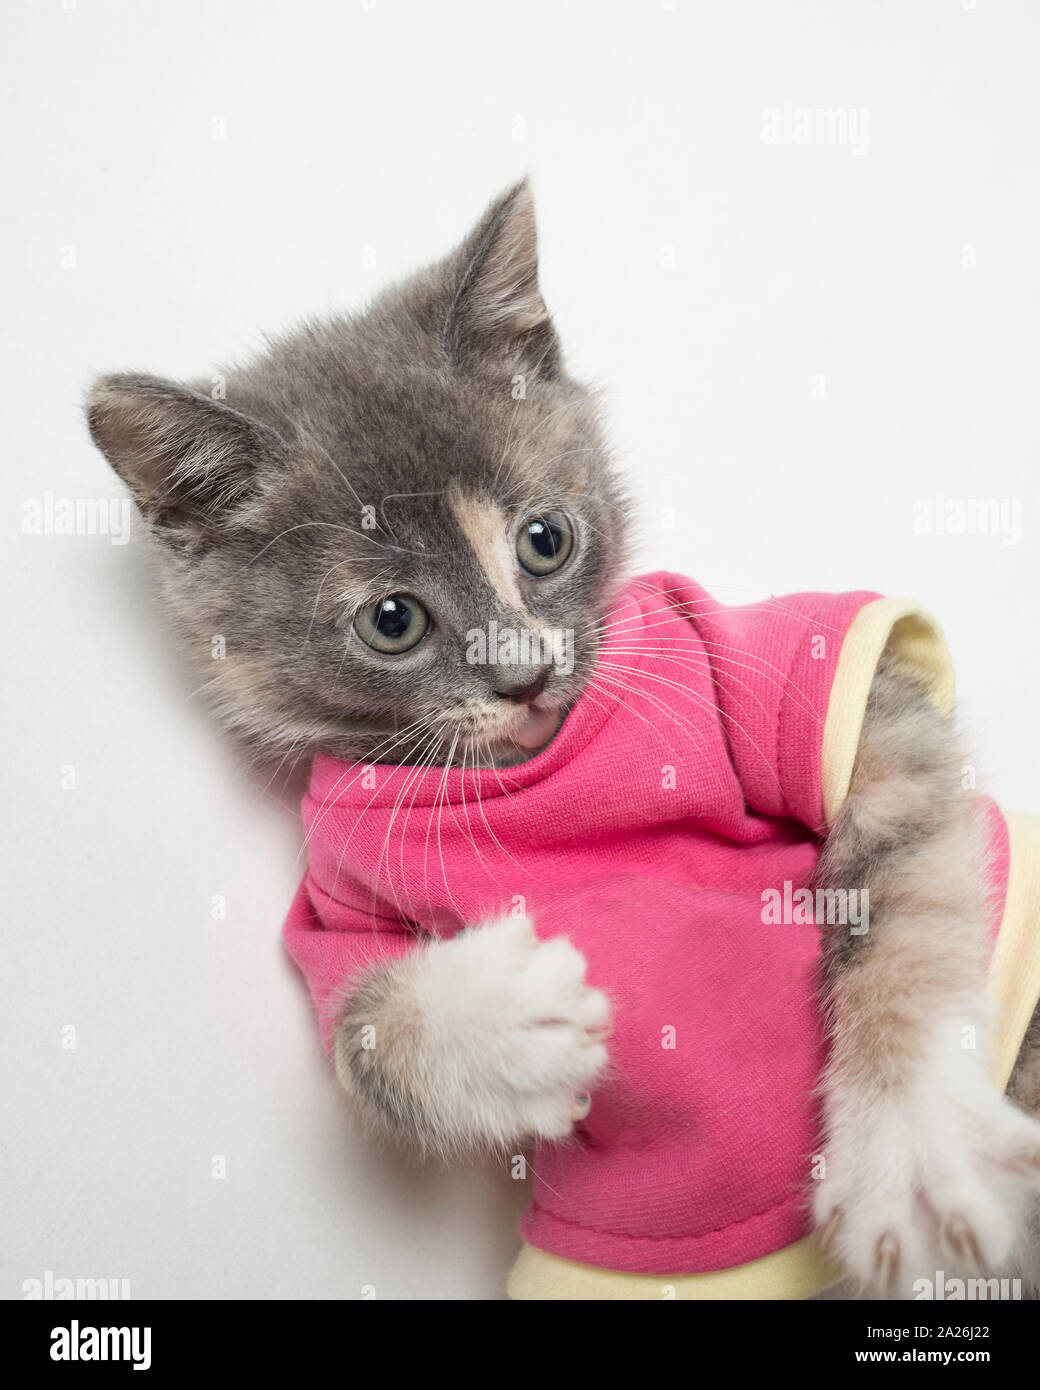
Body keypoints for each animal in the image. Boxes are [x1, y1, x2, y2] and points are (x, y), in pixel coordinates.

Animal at [87, 179, 1040, 1295]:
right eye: (392, 620)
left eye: (544, 540)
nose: (525, 675)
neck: (532, 768)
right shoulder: (333, 903)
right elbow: (360, 1034)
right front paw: (496, 1025)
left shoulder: (812, 685)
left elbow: (904, 883)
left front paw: (911, 1142)